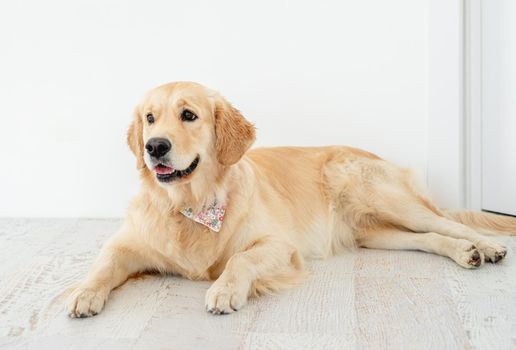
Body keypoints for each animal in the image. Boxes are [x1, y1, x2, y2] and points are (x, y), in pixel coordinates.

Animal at [66, 80, 516, 316]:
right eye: (149, 119)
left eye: (188, 115)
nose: (154, 146)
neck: (190, 206)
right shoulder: (127, 244)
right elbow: (102, 264)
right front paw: (84, 294)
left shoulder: (279, 245)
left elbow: (240, 259)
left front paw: (225, 291)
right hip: (376, 233)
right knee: (432, 238)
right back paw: (466, 253)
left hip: (382, 196)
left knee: (448, 223)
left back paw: (488, 247)